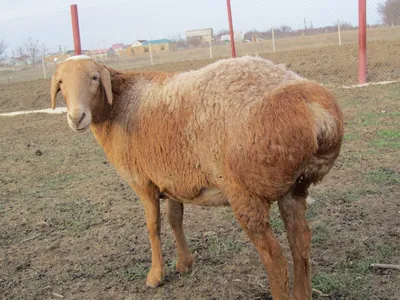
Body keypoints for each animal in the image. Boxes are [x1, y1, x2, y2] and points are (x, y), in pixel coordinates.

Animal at [50, 54, 344, 300]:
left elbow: (153, 225)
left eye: (94, 78)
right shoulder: (172, 179)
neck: (119, 106)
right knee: (301, 242)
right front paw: (184, 264)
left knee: (275, 259)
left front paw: (155, 276)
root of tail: (318, 113)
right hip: (294, 188)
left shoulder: (143, 182)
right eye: (61, 83)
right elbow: (174, 219)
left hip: (246, 192)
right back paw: (302, 293)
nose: (77, 117)